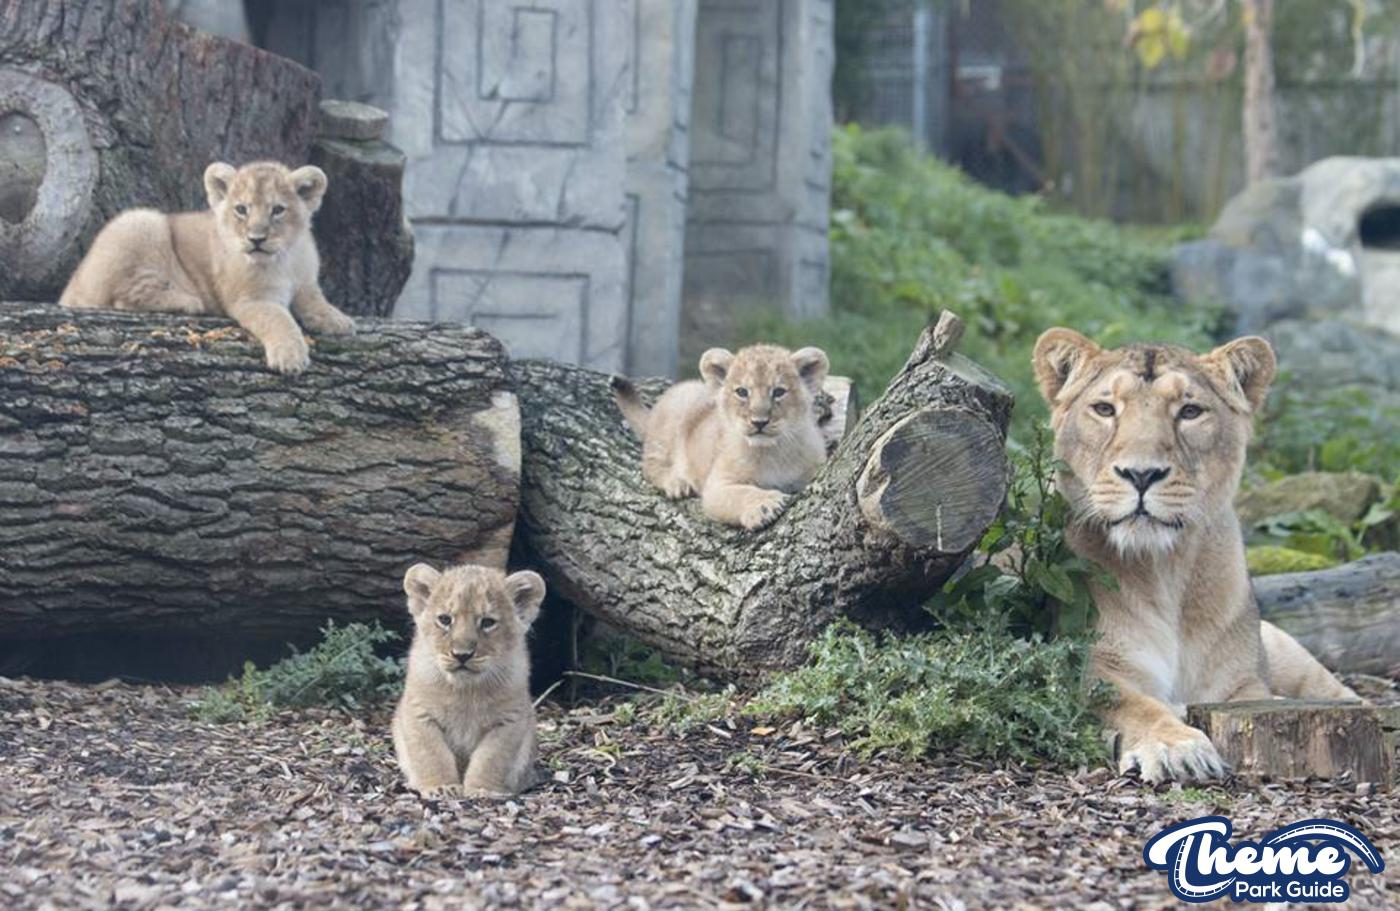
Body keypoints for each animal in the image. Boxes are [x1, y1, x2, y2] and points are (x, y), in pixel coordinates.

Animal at [59, 161, 354, 374]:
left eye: (278, 210)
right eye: (241, 209)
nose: (256, 239)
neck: (282, 260)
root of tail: (71, 287)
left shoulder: (305, 282)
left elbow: (315, 300)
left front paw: (337, 320)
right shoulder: (250, 299)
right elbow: (279, 319)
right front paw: (290, 356)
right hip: (141, 221)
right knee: (123, 297)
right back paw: (188, 301)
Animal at [392, 562, 546, 798]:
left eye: (488, 622)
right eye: (445, 619)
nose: (461, 655)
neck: (465, 691)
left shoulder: (509, 720)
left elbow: (491, 758)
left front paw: (482, 790)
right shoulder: (419, 713)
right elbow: (432, 754)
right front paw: (441, 787)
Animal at [611, 344, 830, 529]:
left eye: (779, 392)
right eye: (742, 392)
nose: (759, 422)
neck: (772, 451)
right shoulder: (716, 486)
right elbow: (742, 493)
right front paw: (765, 505)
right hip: (668, 427)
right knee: (650, 466)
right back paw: (677, 483)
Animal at [1032, 328, 1357, 784]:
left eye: (1189, 411)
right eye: (1104, 408)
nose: (1141, 474)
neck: (1165, 570)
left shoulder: (1242, 686)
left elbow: (1256, 697)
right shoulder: (1089, 667)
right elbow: (1133, 704)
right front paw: (1177, 747)